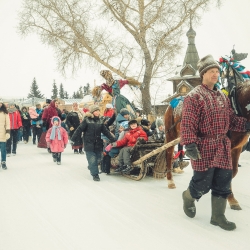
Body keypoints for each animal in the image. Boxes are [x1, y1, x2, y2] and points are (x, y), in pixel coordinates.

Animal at [164, 81, 250, 210]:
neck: (237, 107)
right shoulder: (227, 148)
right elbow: (227, 174)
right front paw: (230, 198)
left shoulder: (237, 148)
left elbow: (233, 172)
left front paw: (230, 198)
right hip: (171, 134)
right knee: (168, 154)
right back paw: (170, 181)